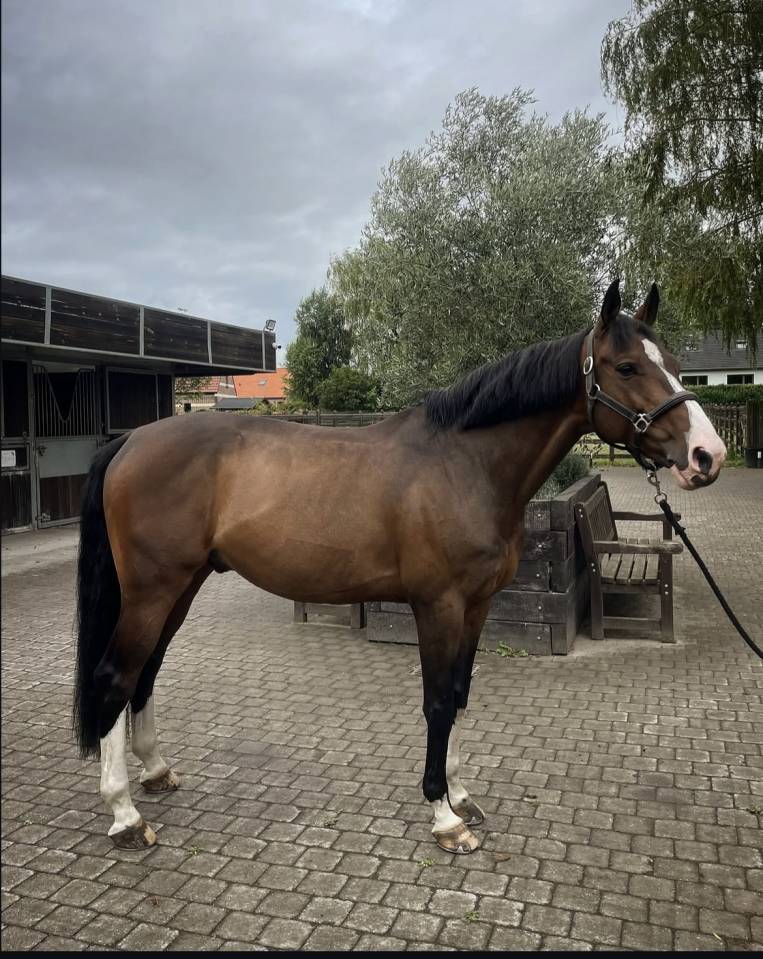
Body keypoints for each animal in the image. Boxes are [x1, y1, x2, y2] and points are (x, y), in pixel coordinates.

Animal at [74, 279, 726, 854]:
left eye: (673, 361)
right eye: (627, 368)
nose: (707, 456)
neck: (464, 464)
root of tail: (130, 442)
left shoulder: (477, 605)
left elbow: (459, 693)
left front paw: (462, 795)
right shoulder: (437, 606)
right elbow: (437, 700)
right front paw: (444, 817)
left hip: (181, 588)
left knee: (146, 674)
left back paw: (156, 772)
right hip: (152, 591)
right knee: (114, 676)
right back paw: (125, 816)